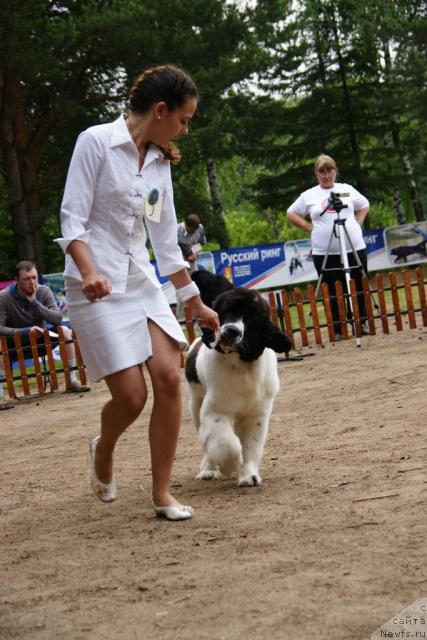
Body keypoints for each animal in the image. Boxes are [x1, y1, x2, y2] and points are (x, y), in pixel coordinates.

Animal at [186, 288, 292, 488]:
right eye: (228, 311)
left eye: (252, 319)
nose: (231, 331)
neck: (242, 366)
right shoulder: (216, 411)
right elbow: (226, 444)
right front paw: (228, 466)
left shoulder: (256, 415)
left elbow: (251, 446)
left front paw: (248, 475)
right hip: (196, 403)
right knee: (206, 438)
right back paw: (208, 469)